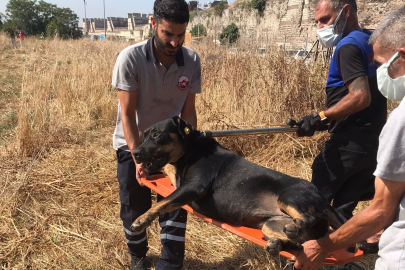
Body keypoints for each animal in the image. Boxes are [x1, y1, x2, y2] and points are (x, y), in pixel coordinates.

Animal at [130, 116, 344, 255]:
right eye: (144, 135)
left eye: (157, 134)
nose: (135, 153)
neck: (192, 148)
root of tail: (322, 198)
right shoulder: (180, 181)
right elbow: (169, 175)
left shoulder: (194, 187)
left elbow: (164, 202)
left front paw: (141, 219)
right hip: (270, 224)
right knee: (301, 241)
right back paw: (278, 244)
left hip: (289, 198)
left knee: (311, 219)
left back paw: (294, 229)